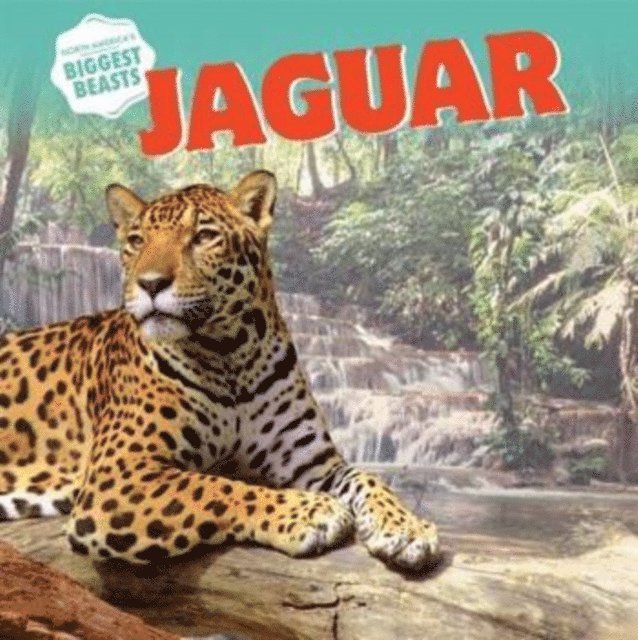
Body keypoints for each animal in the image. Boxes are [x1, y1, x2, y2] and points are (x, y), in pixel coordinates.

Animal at [0, 171, 439, 571]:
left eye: (203, 236)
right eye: (137, 241)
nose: (150, 283)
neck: (231, 356)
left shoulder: (312, 463)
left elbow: (370, 478)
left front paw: (407, 527)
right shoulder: (118, 475)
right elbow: (214, 487)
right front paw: (312, 511)